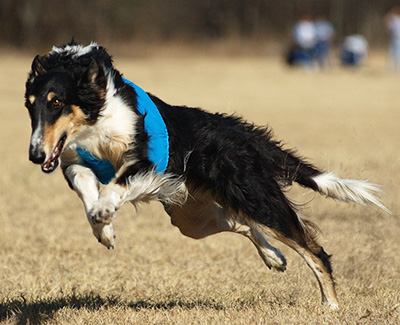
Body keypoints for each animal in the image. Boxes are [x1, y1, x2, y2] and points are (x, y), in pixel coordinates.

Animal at [24, 41, 388, 308]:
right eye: (30, 105)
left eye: (56, 102)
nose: (35, 155)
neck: (95, 115)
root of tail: (242, 134)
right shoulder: (73, 160)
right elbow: (87, 193)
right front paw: (104, 229)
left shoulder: (147, 162)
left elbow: (115, 184)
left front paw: (105, 212)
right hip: (191, 217)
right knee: (243, 223)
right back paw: (274, 257)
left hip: (255, 199)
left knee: (313, 249)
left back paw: (331, 305)